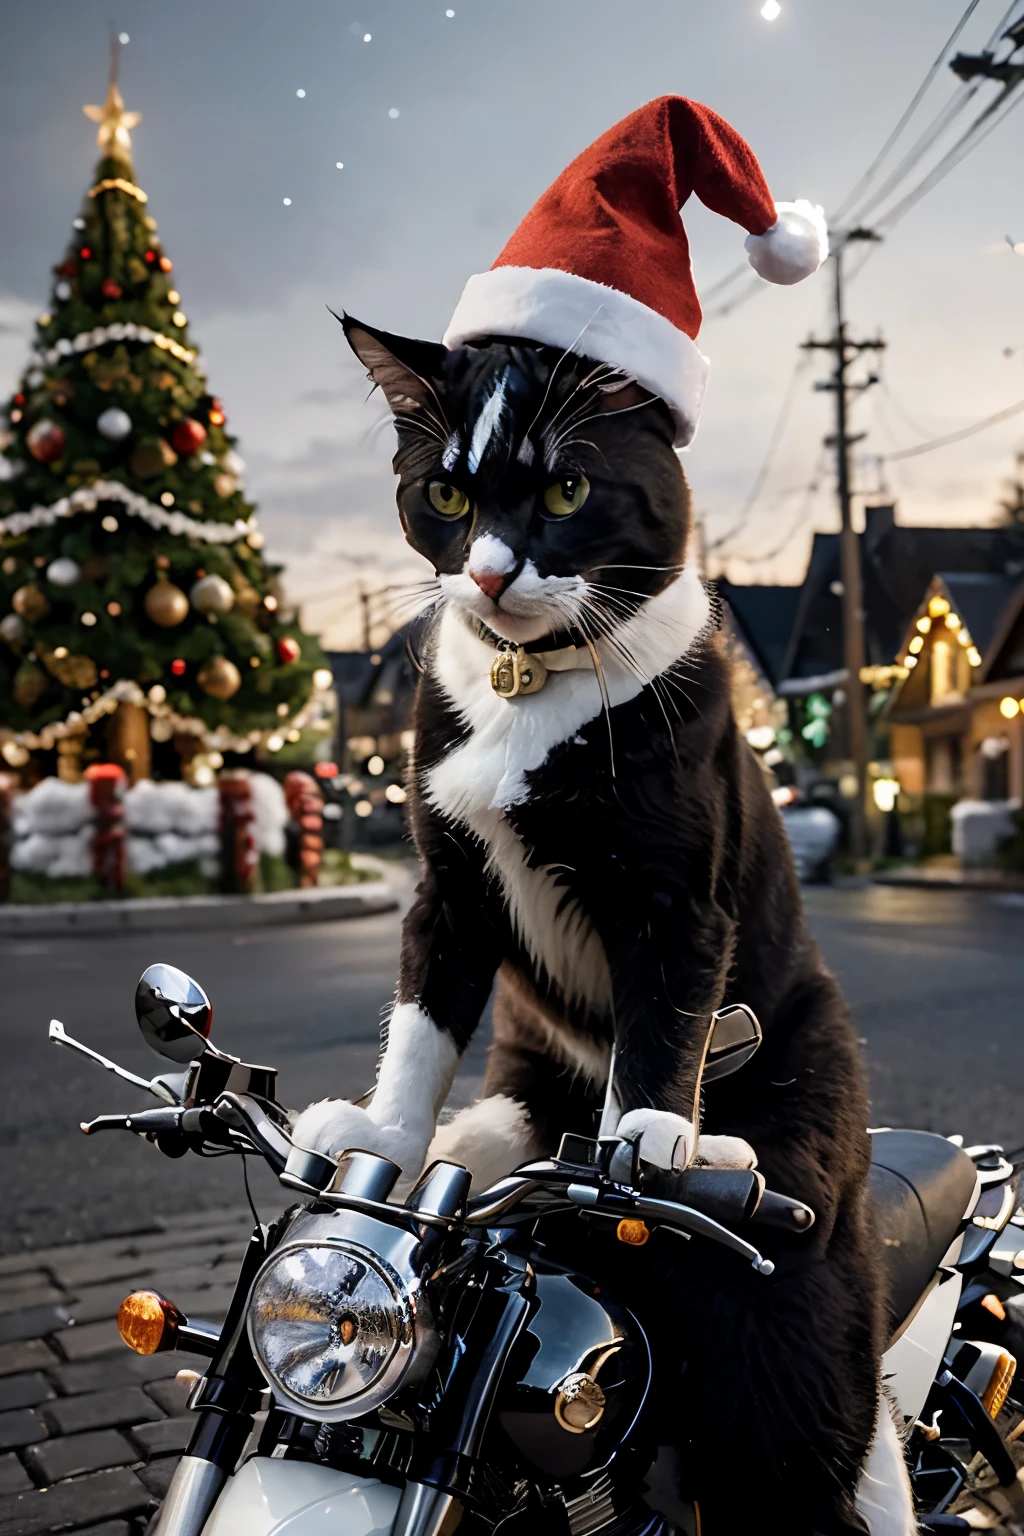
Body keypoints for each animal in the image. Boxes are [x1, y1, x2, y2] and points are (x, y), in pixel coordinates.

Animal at [294, 324, 914, 1536]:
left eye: (568, 490)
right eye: (445, 491)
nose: (491, 570)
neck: (525, 685)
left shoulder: (678, 896)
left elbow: (665, 1014)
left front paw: (649, 1141)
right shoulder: (448, 888)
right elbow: (421, 1021)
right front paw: (385, 1135)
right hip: (532, 1075)